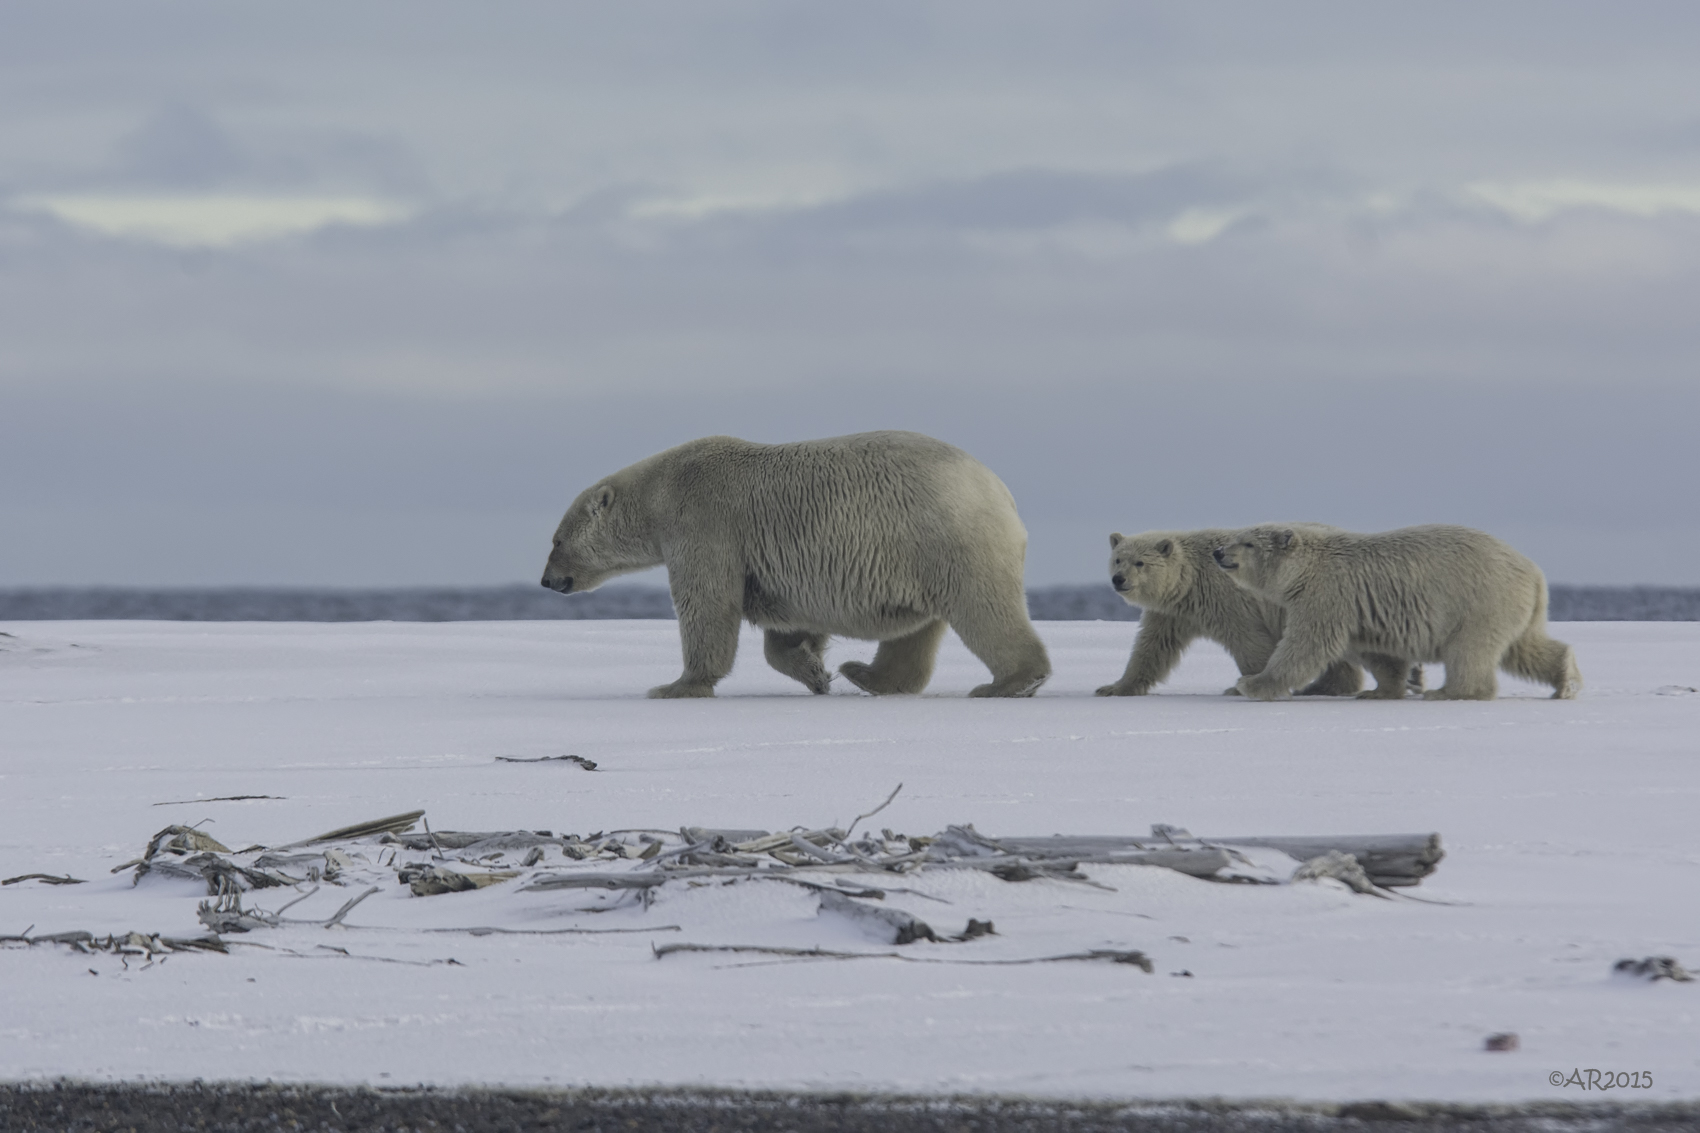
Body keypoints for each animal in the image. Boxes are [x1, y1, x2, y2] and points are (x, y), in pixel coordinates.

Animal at [541, 431, 1051, 699]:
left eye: (556, 539)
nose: (547, 580)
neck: (664, 489)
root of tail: (1000, 490)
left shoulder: (705, 523)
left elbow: (708, 604)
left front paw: (675, 686)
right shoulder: (783, 569)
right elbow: (786, 627)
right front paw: (816, 672)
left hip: (944, 536)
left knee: (983, 608)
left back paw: (1011, 681)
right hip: (921, 552)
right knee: (916, 630)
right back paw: (864, 673)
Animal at [1094, 529, 1419, 698]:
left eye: (1140, 563)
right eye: (1118, 559)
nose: (1119, 579)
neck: (1190, 581)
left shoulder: (1226, 597)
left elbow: (1249, 640)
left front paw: (1244, 686)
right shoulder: (1174, 613)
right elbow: (1152, 647)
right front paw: (1113, 687)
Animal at [1211, 523, 1582, 701]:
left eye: (1247, 543)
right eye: (1235, 536)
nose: (1218, 552)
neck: (1308, 568)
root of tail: (1534, 573)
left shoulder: (1328, 595)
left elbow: (1306, 645)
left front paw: (1250, 683)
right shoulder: (1359, 608)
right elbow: (1378, 654)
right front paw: (1377, 691)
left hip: (1480, 601)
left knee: (1469, 649)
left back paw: (1450, 692)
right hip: (1513, 607)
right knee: (1525, 647)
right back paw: (1567, 680)